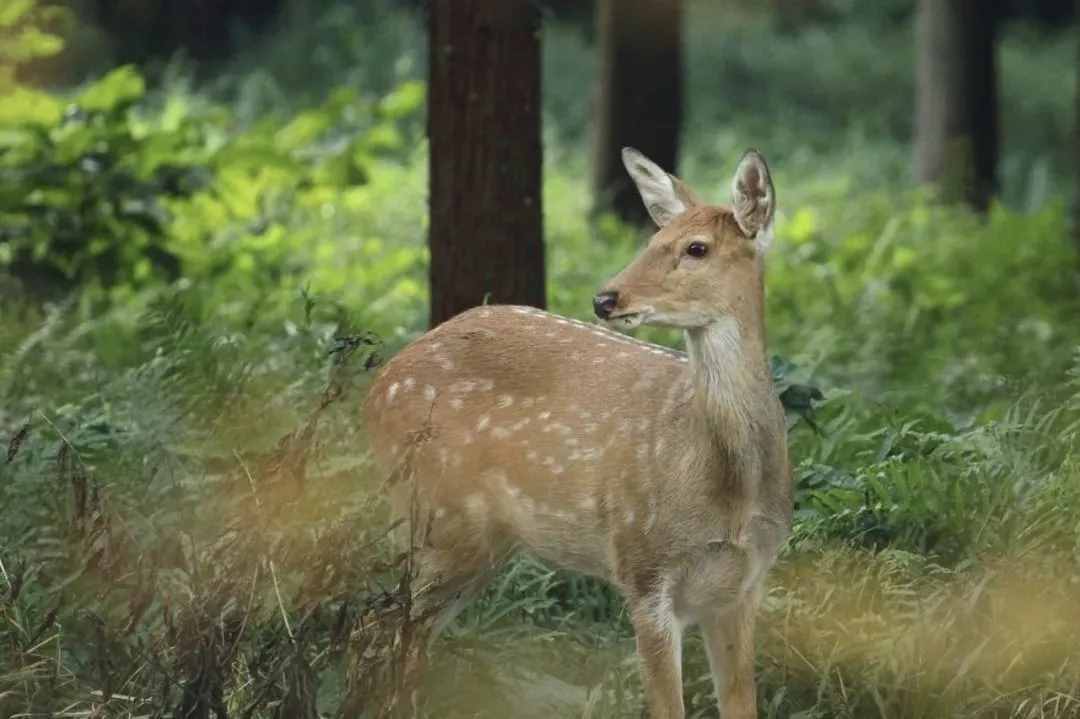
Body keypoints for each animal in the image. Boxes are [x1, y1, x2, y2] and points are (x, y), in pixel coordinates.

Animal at [367, 146, 790, 716]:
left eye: (696, 248)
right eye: (652, 240)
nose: (605, 298)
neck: (731, 493)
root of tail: (376, 388)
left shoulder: (745, 585)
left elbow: (742, 706)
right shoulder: (643, 568)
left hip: (476, 543)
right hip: (433, 518)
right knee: (380, 627)